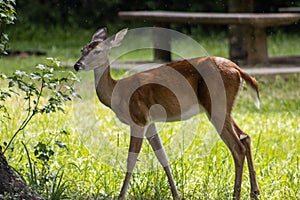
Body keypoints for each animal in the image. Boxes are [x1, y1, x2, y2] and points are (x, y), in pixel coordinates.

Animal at [73, 27, 260, 199]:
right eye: (82, 50)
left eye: (97, 51)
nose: (77, 65)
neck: (117, 92)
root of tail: (237, 69)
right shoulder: (150, 123)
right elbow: (162, 157)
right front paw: (176, 195)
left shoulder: (138, 118)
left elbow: (131, 160)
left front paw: (121, 196)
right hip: (223, 108)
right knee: (246, 137)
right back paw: (255, 192)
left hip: (217, 105)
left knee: (237, 147)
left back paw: (237, 195)